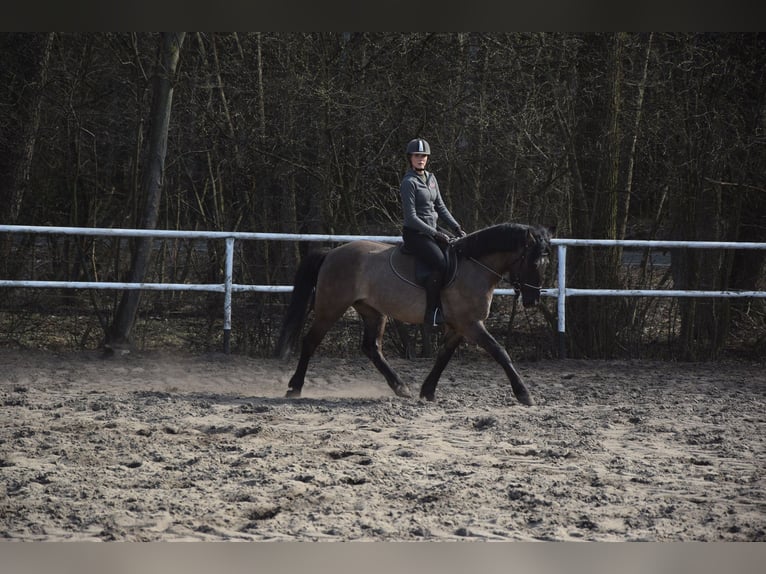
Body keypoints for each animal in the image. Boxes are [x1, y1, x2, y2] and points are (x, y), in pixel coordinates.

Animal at [274, 222, 554, 405]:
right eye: (532, 262)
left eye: (546, 263)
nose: (532, 300)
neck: (475, 267)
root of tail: (332, 252)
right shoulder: (471, 324)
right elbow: (500, 352)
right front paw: (524, 394)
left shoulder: (458, 326)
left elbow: (443, 356)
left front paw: (427, 391)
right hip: (331, 308)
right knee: (310, 341)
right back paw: (294, 387)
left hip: (373, 312)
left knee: (371, 348)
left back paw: (401, 387)